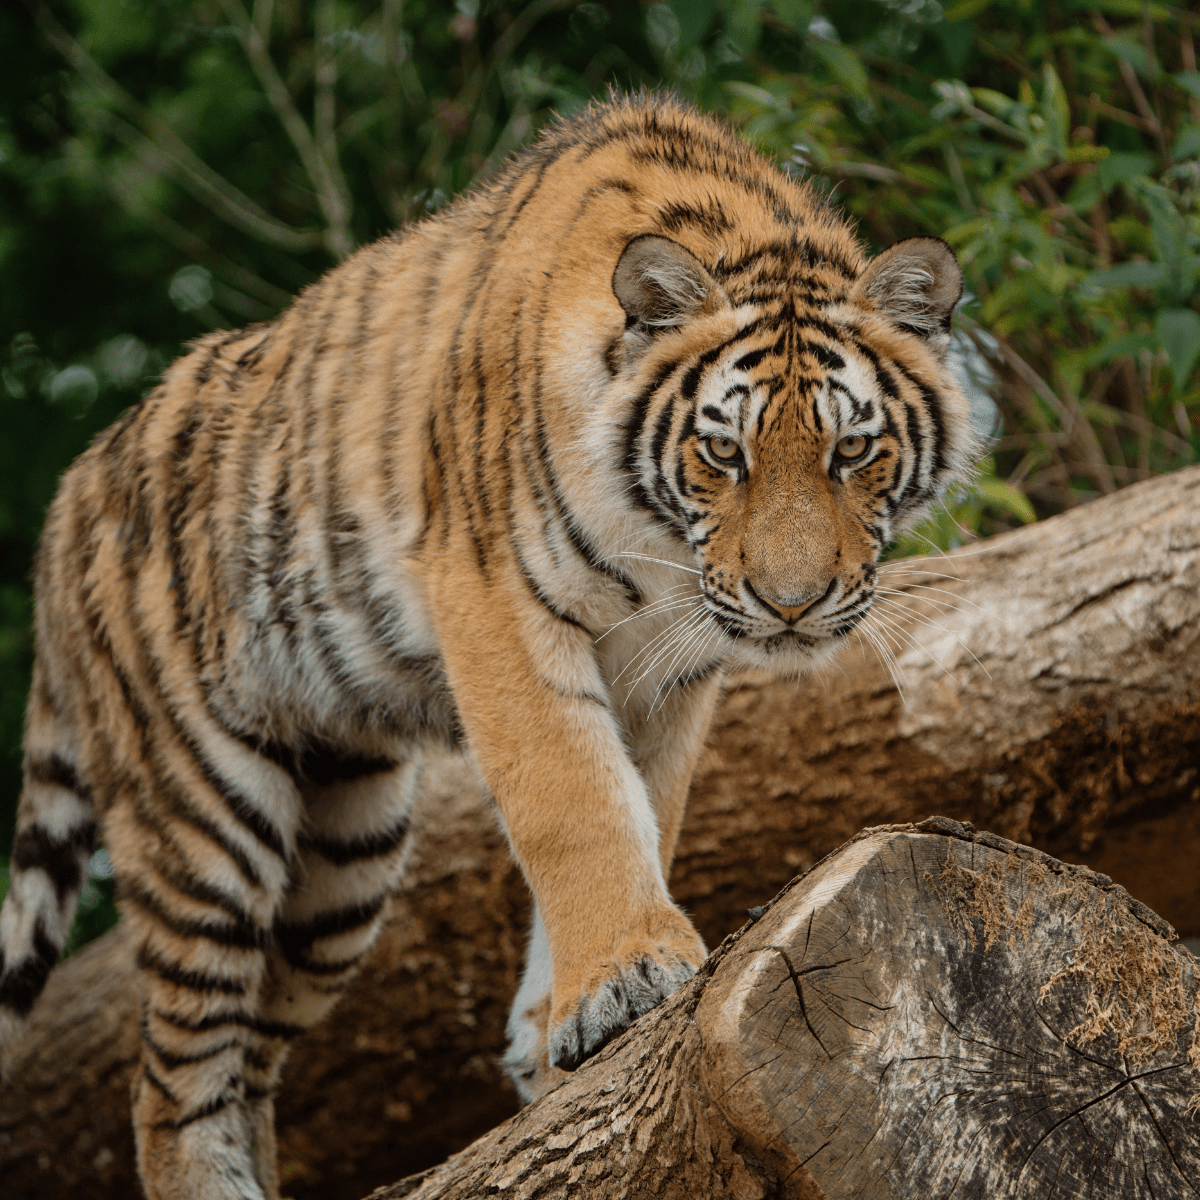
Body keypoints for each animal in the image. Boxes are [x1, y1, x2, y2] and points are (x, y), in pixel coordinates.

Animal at [0, 92, 980, 1199]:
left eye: (852, 450)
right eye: (723, 452)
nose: (792, 605)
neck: (659, 551)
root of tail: (67, 500)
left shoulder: (666, 673)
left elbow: (646, 809)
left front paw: (564, 1030)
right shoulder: (494, 600)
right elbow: (574, 802)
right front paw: (625, 978)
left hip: (340, 865)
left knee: (249, 1061)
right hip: (203, 819)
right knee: (170, 1081)